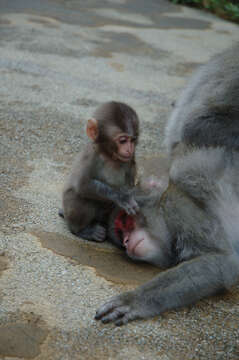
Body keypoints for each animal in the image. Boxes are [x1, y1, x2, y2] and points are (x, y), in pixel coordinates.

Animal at [59, 101, 140, 242]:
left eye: (133, 140)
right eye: (123, 140)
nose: (129, 149)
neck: (110, 156)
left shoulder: (131, 159)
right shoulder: (91, 155)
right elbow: (82, 185)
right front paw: (123, 197)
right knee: (82, 198)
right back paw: (83, 231)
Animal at [95, 45, 239, 326]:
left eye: (125, 222)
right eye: (121, 235)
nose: (126, 241)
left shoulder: (180, 208)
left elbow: (221, 262)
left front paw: (134, 300)